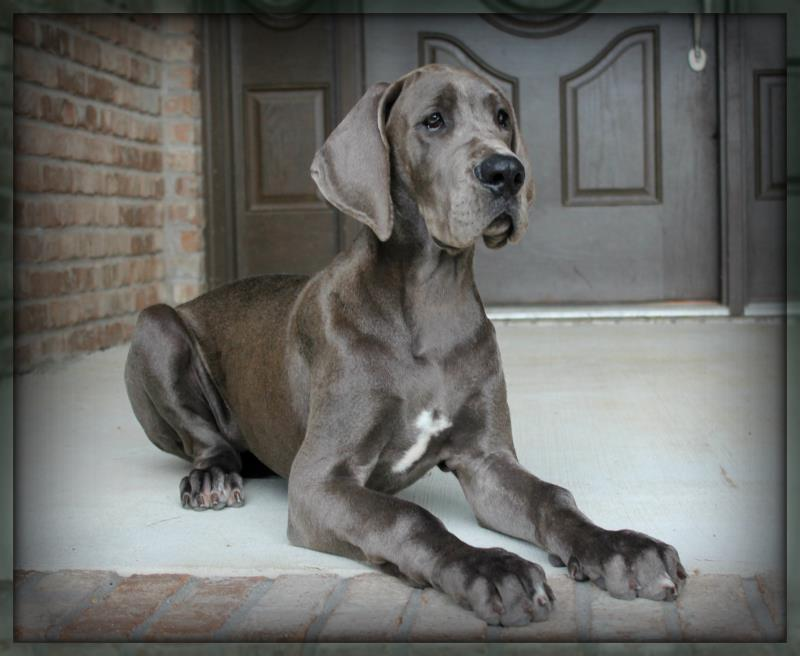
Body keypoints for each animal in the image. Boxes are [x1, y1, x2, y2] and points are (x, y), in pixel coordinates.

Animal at [125, 64, 686, 627]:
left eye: (502, 118)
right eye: (433, 121)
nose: (507, 172)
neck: (431, 302)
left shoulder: (486, 460)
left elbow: (553, 498)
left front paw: (619, 547)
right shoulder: (319, 480)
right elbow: (409, 518)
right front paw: (488, 567)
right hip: (155, 328)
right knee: (206, 439)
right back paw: (213, 477)